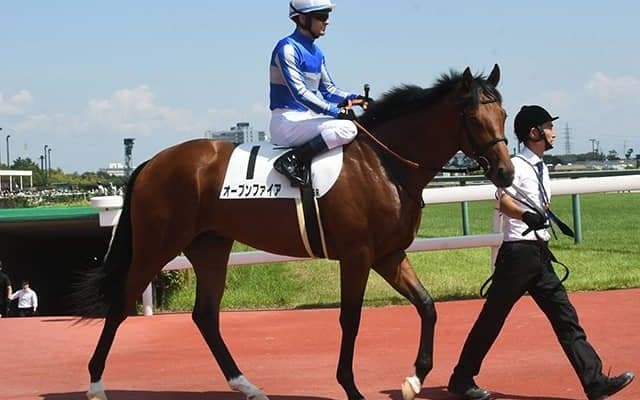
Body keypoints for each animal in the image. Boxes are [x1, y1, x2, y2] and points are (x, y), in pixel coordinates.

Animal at [77, 64, 514, 400]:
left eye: (504, 115)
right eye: (475, 118)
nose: (505, 172)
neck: (383, 163)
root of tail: (151, 162)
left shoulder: (388, 254)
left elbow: (426, 305)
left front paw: (414, 379)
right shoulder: (357, 256)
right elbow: (351, 318)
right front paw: (351, 387)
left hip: (210, 247)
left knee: (205, 315)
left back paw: (247, 386)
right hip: (157, 246)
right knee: (121, 305)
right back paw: (96, 385)